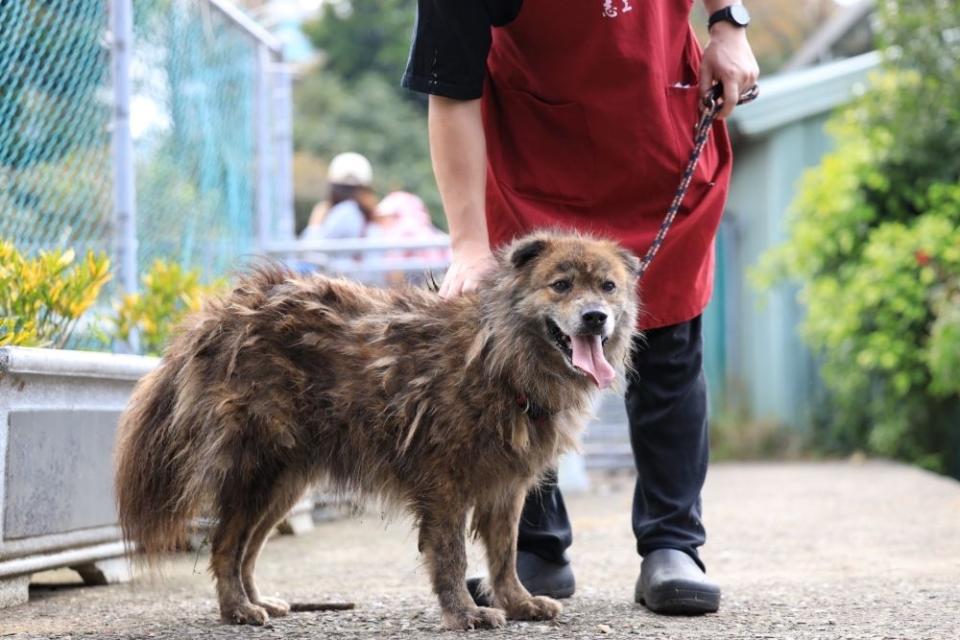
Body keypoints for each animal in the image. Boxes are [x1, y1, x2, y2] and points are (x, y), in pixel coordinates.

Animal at [114, 230, 636, 632]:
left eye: (608, 286)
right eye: (561, 285)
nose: (595, 317)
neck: (497, 355)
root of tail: (220, 313)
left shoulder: (506, 487)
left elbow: (504, 556)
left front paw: (518, 603)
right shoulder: (443, 484)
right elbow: (451, 556)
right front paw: (464, 613)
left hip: (284, 482)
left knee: (247, 549)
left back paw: (257, 601)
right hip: (256, 470)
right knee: (226, 546)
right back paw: (237, 610)